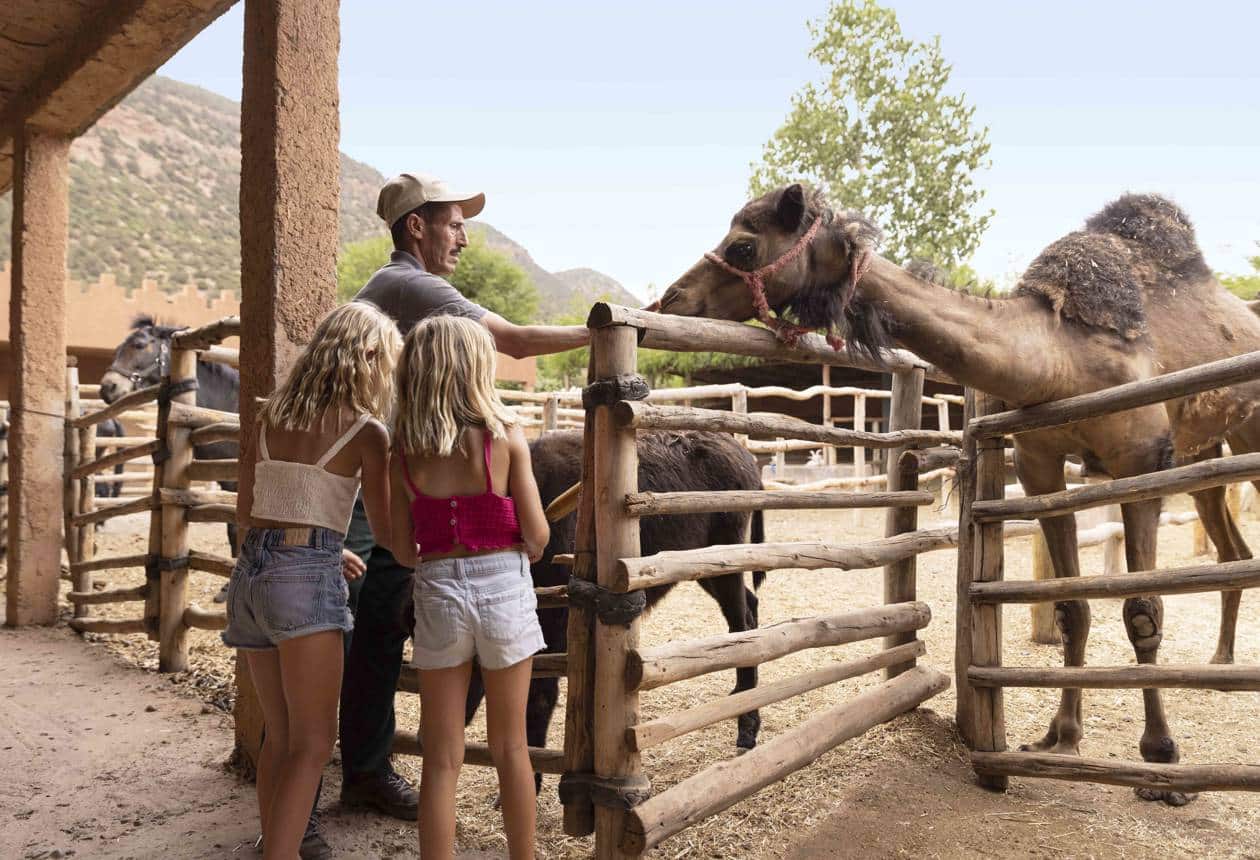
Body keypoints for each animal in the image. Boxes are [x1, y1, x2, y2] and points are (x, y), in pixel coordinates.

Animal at [655, 183, 1260, 805]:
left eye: (744, 245)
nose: (671, 297)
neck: (1061, 356)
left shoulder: (1141, 460)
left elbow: (1143, 611)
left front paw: (1162, 762)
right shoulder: (1042, 462)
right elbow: (1072, 608)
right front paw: (1061, 740)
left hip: (1232, 438)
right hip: (1204, 453)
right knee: (1232, 550)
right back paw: (1221, 663)